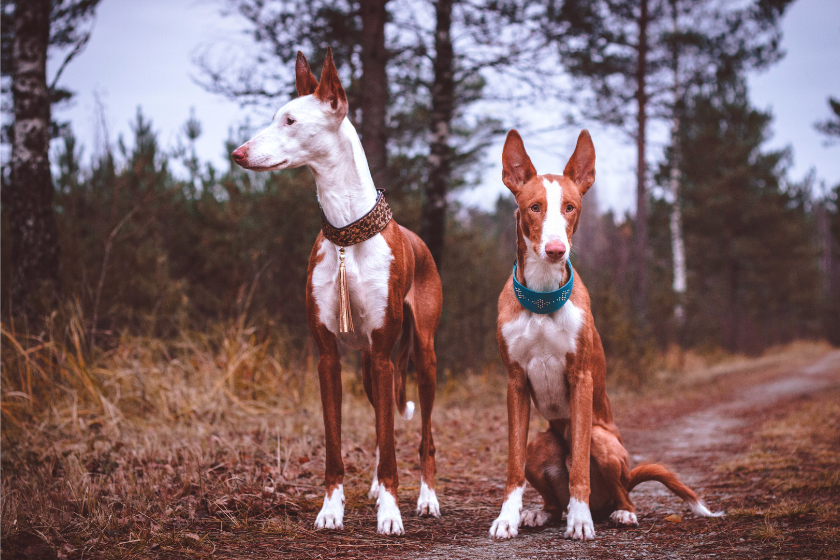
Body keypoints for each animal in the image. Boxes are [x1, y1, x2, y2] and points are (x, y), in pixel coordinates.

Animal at [230, 50, 440, 536]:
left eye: (289, 120)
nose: (238, 153)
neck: (347, 233)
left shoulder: (384, 355)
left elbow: (393, 443)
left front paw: (391, 514)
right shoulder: (328, 356)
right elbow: (337, 444)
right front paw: (332, 509)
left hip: (421, 356)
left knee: (423, 437)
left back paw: (426, 497)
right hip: (367, 367)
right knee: (384, 430)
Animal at [488, 129, 720, 540]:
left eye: (570, 207)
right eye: (534, 207)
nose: (556, 249)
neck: (542, 299)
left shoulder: (581, 379)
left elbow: (579, 461)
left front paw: (581, 522)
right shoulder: (515, 382)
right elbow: (512, 464)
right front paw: (508, 517)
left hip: (605, 442)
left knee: (619, 492)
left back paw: (615, 512)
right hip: (539, 445)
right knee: (553, 498)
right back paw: (542, 513)